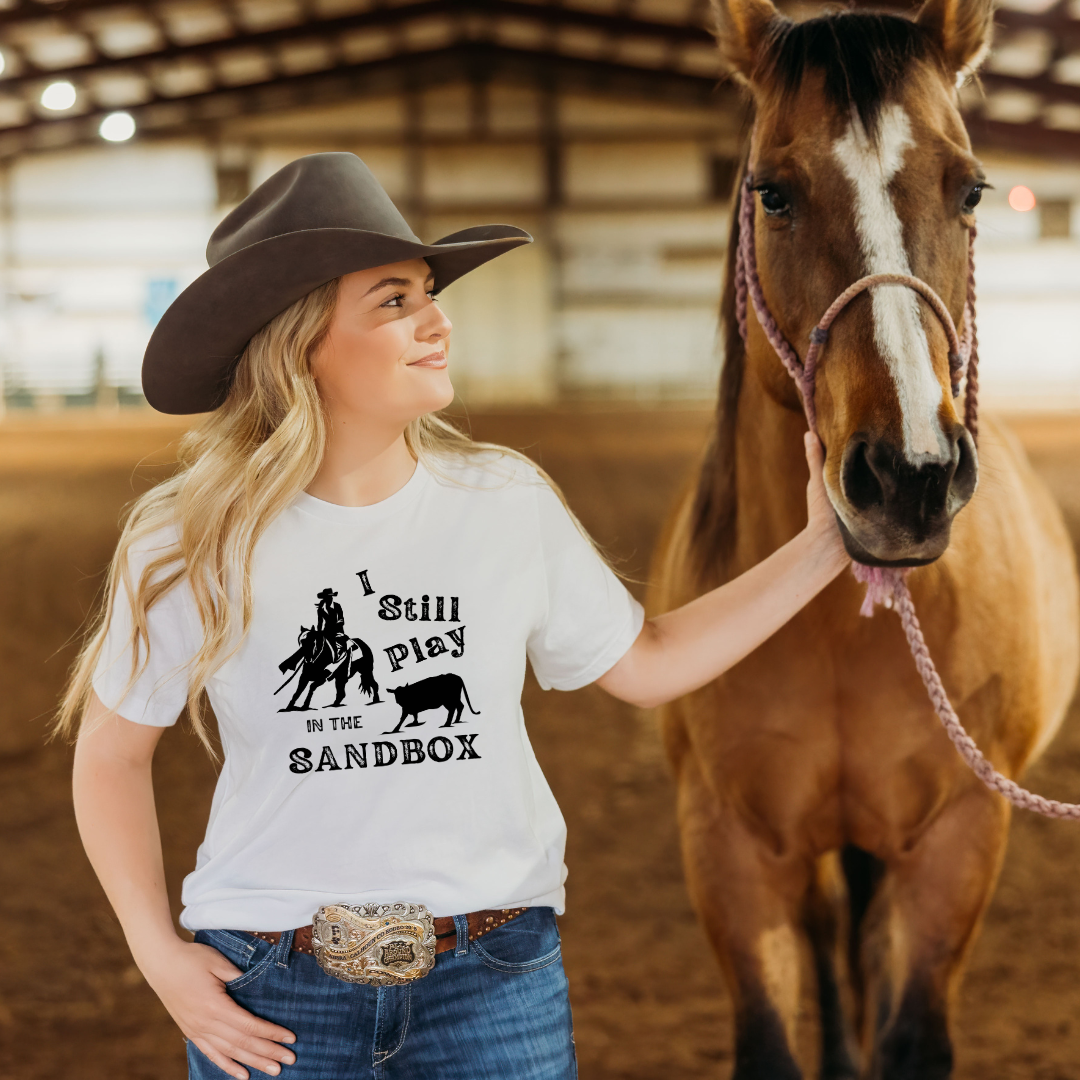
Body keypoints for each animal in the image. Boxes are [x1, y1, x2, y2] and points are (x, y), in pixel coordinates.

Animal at [648, 0, 1080, 1075]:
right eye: (771, 193)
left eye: (971, 190)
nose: (910, 477)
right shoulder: (731, 849)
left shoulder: (959, 839)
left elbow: (911, 1029)